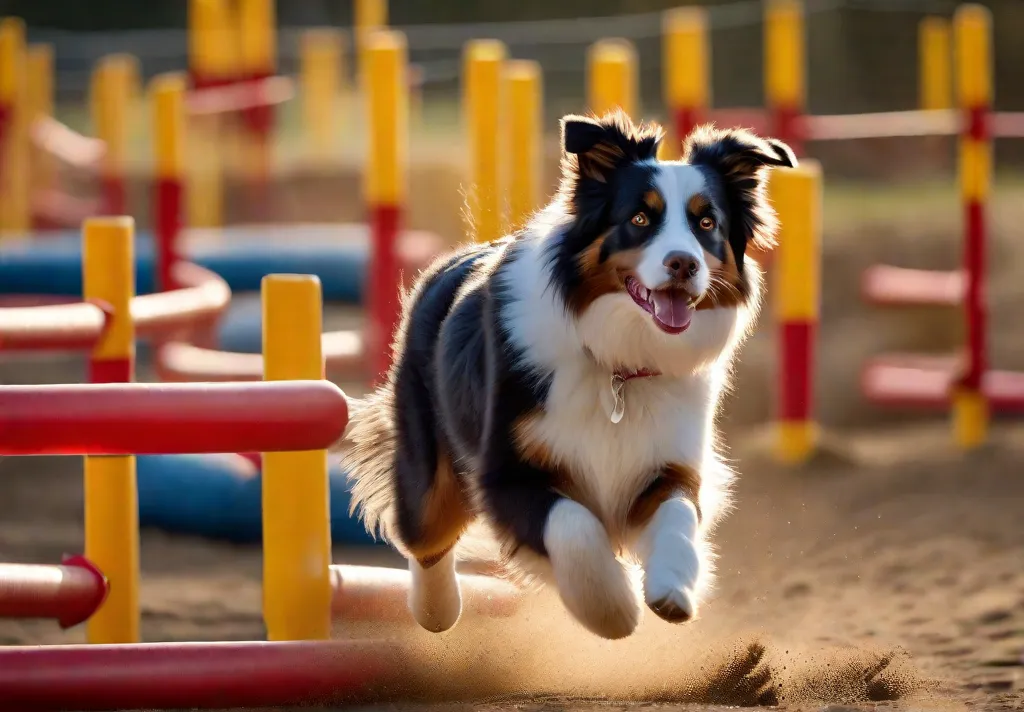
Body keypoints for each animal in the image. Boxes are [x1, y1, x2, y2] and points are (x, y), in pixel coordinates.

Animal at [339, 110, 794, 639]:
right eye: (639, 219)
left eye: (706, 223)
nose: (683, 263)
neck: (617, 363)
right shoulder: (506, 472)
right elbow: (574, 525)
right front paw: (611, 607)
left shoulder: (666, 461)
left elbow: (679, 514)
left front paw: (672, 588)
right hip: (428, 462)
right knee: (425, 534)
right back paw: (437, 610)